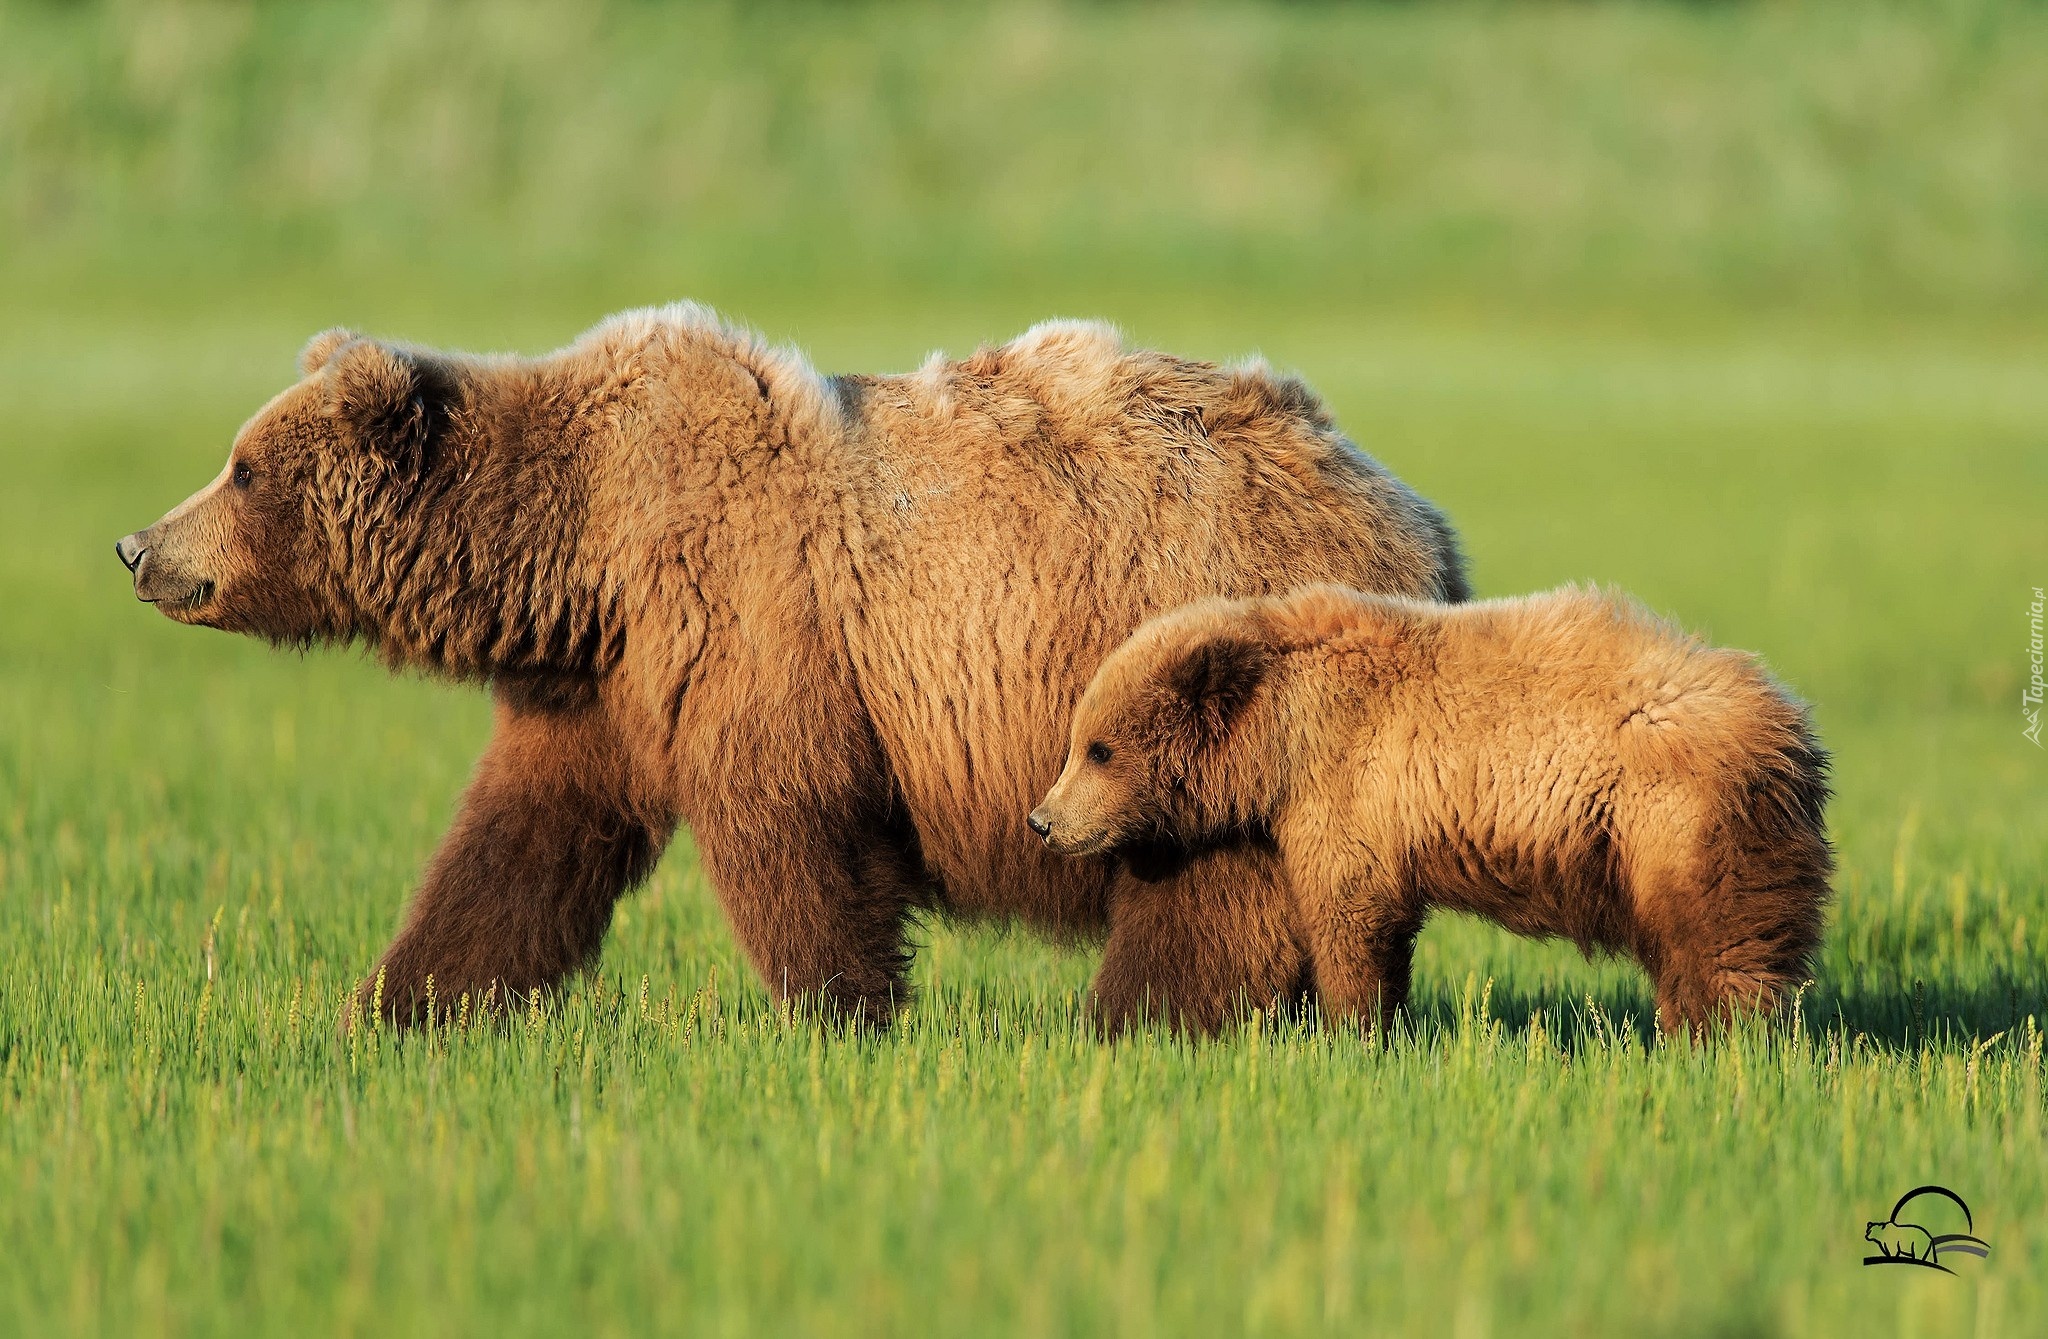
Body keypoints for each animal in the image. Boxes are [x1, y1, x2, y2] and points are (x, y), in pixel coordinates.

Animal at [112, 309, 1466, 1031]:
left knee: (1204, 880)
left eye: (240, 468)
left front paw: (842, 1015)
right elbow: (520, 845)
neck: (582, 550)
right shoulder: (603, 689)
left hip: (1196, 668)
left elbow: (790, 826)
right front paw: (396, 1007)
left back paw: (1135, 1019)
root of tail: (1421, 519)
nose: (137, 546)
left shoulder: (751, 619)